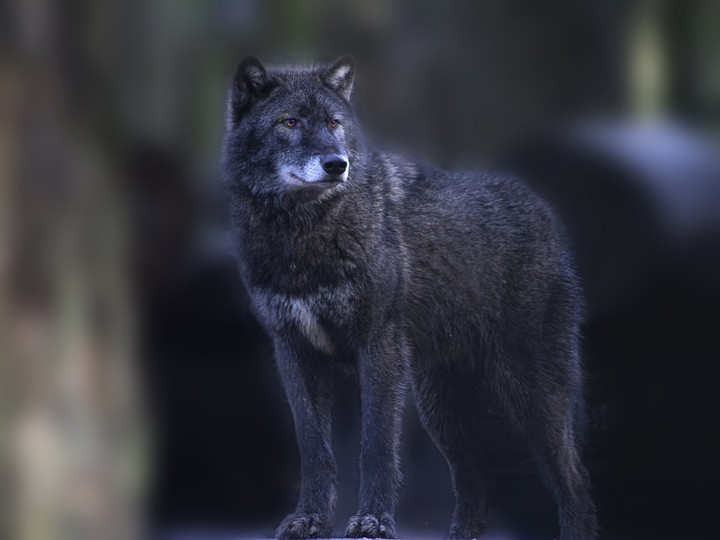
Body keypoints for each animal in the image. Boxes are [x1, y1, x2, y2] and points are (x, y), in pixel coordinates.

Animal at [221, 55, 598, 540]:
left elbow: (376, 447)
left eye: (334, 123)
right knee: (477, 478)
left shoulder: (377, 346)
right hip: (442, 408)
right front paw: (308, 520)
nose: (337, 164)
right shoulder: (293, 352)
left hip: (531, 394)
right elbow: (314, 450)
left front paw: (372, 522)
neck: (303, 236)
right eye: (290, 122)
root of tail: (542, 207)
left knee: (573, 476)